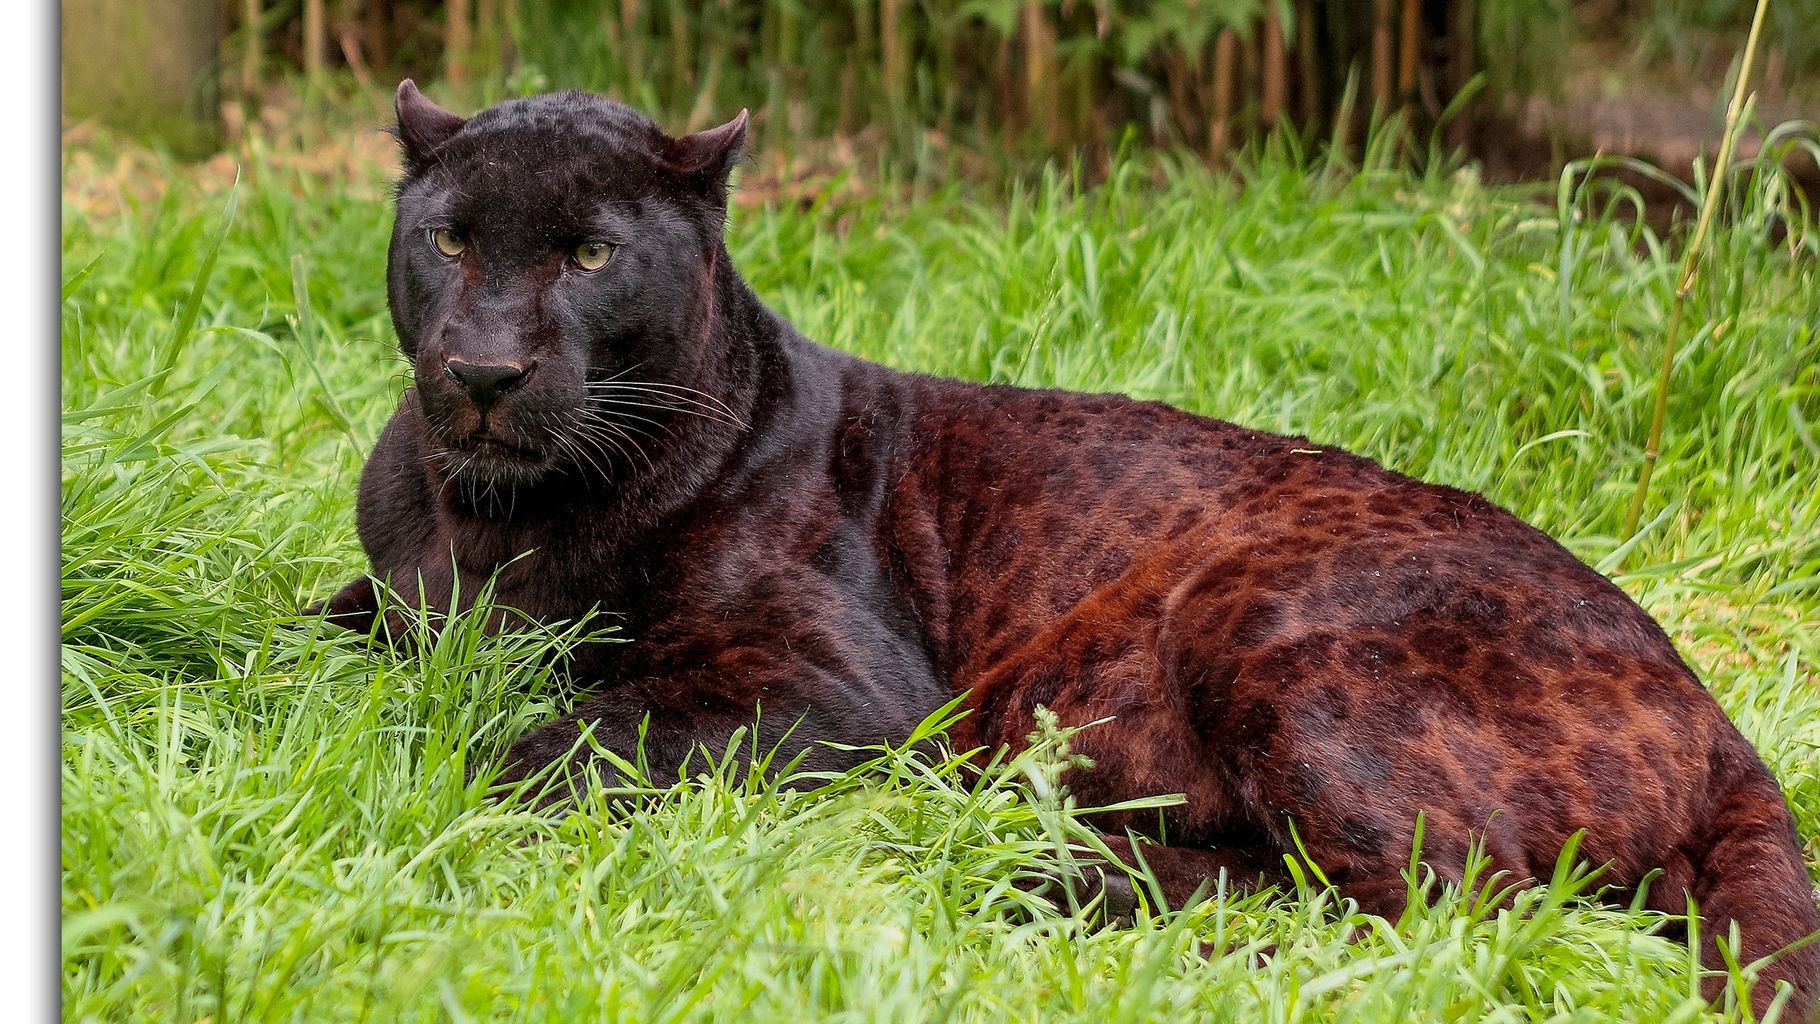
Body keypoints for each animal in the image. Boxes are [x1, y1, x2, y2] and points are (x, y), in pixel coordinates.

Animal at [316, 82, 1820, 1018]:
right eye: (447, 240)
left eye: (585, 255)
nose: (485, 369)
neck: (496, 518)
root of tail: (1709, 709)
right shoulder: (381, 597)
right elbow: (314, 631)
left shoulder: (839, 690)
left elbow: (576, 726)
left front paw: (431, 765)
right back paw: (1022, 862)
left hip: (1265, 623)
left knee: (1444, 916)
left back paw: (1017, 876)